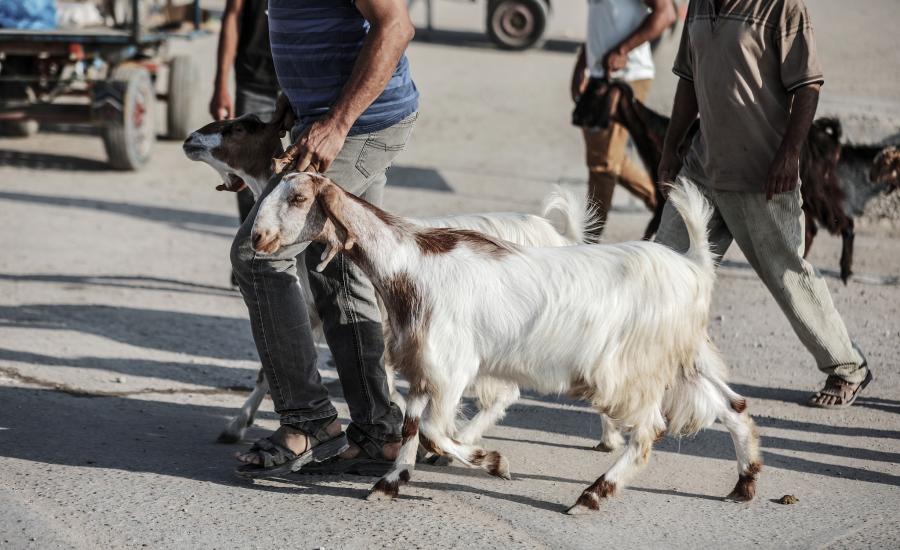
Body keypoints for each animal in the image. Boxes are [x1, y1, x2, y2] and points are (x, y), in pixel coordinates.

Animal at [250, 172, 764, 512]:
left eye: (298, 197)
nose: (257, 237)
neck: (410, 262)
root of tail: (694, 266)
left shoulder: (451, 366)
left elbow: (435, 430)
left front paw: (492, 461)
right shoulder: (423, 367)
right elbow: (414, 426)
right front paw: (391, 482)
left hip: (630, 369)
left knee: (649, 430)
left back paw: (590, 496)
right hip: (684, 358)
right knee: (732, 405)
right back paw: (745, 482)